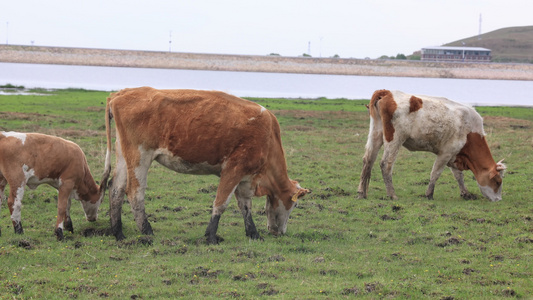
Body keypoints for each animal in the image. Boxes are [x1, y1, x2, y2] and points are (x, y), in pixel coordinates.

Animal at [101, 86, 308, 244]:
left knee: (116, 188)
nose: (280, 232)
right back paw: (147, 231)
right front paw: (211, 237)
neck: (268, 135)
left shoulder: (245, 178)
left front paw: (253, 234)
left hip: (123, 154)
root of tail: (120, 94)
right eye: (295, 204)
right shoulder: (233, 169)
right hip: (140, 156)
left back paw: (118, 232)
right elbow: (221, 203)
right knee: (135, 192)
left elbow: (245, 206)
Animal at [358, 89, 502, 202]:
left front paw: (465, 193)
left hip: (376, 134)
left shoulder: (453, 155)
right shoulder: (446, 153)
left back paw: (361, 193)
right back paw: (392, 194)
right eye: (498, 182)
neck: (470, 131)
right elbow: (435, 173)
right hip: (395, 138)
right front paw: (429, 194)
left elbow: (458, 176)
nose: (498, 200)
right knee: (386, 164)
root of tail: (387, 92)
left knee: (368, 160)